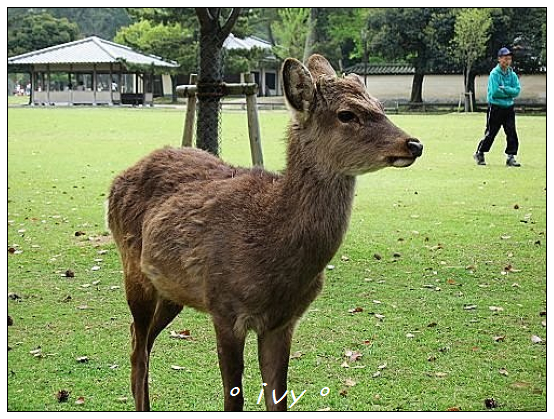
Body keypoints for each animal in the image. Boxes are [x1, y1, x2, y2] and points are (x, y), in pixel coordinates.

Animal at [106, 54, 418, 412]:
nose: (414, 144)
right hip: (133, 270)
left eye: (380, 105)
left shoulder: (283, 321)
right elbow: (233, 398)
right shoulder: (224, 308)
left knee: (139, 338)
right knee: (138, 344)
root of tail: (116, 180)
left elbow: (278, 398)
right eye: (347, 114)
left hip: (173, 291)